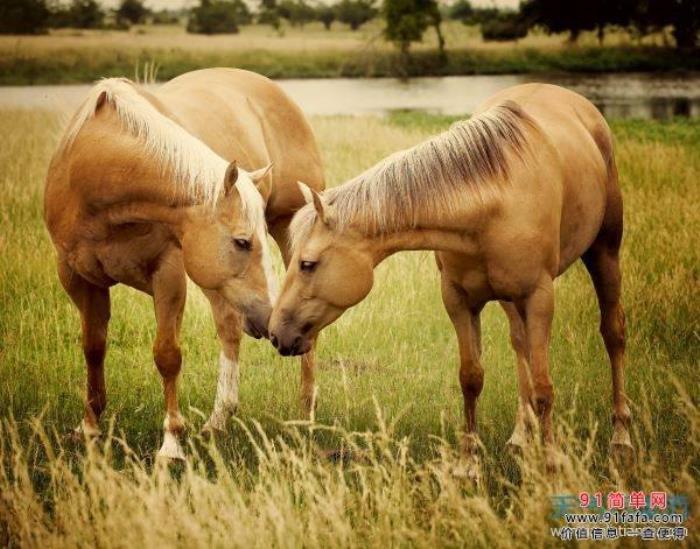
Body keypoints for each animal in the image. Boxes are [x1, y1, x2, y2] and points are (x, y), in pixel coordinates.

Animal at [45, 67, 324, 458]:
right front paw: (88, 427)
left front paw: (171, 443)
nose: (269, 320)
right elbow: (93, 348)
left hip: (288, 232)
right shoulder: (78, 278)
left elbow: (167, 355)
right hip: (214, 283)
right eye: (242, 242)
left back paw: (305, 417)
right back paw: (218, 421)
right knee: (228, 327)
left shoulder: (169, 273)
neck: (94, 172)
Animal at [270, 83, 632, 474]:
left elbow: (543, 386)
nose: (276, 333)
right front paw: (467, 464)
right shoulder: (458, 299)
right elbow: (471, 378)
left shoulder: (539, 297)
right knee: (519, 343)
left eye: (307, 264)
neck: (493, 204)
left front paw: (551, 463)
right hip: (509, 298)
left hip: (604, 250)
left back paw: (621, 438)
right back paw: (521, 436)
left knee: (613, 333)